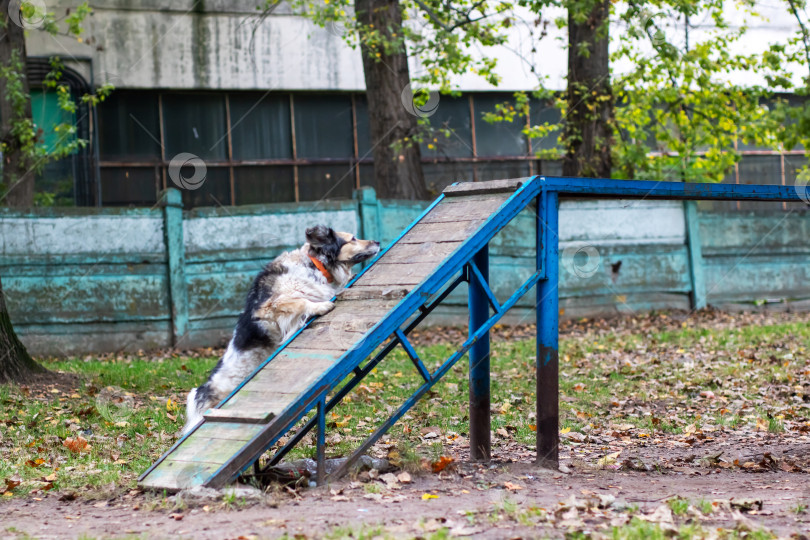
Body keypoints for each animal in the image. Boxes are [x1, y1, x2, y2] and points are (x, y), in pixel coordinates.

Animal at [183, 225, 378, 434]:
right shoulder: (271, 307)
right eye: (353, 238)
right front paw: (321, 306)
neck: (314, 264)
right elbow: (302, 301)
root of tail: (203, 391)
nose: (377, 242)